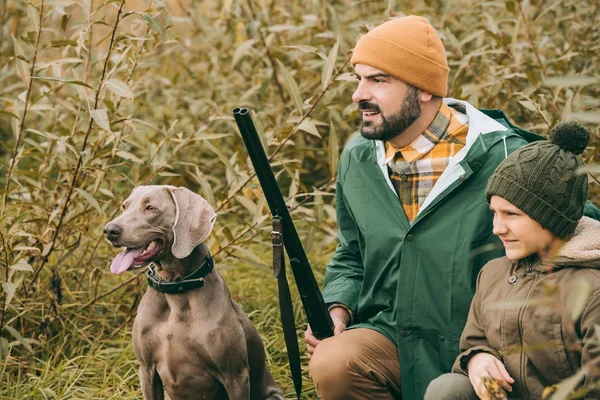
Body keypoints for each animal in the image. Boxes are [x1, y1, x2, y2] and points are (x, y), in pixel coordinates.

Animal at [104, 186, 284, 398]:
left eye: (150, 208)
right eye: (124, 206)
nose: (109, 230)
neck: (175, 288)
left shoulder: (235, 375)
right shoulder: (146, 370)